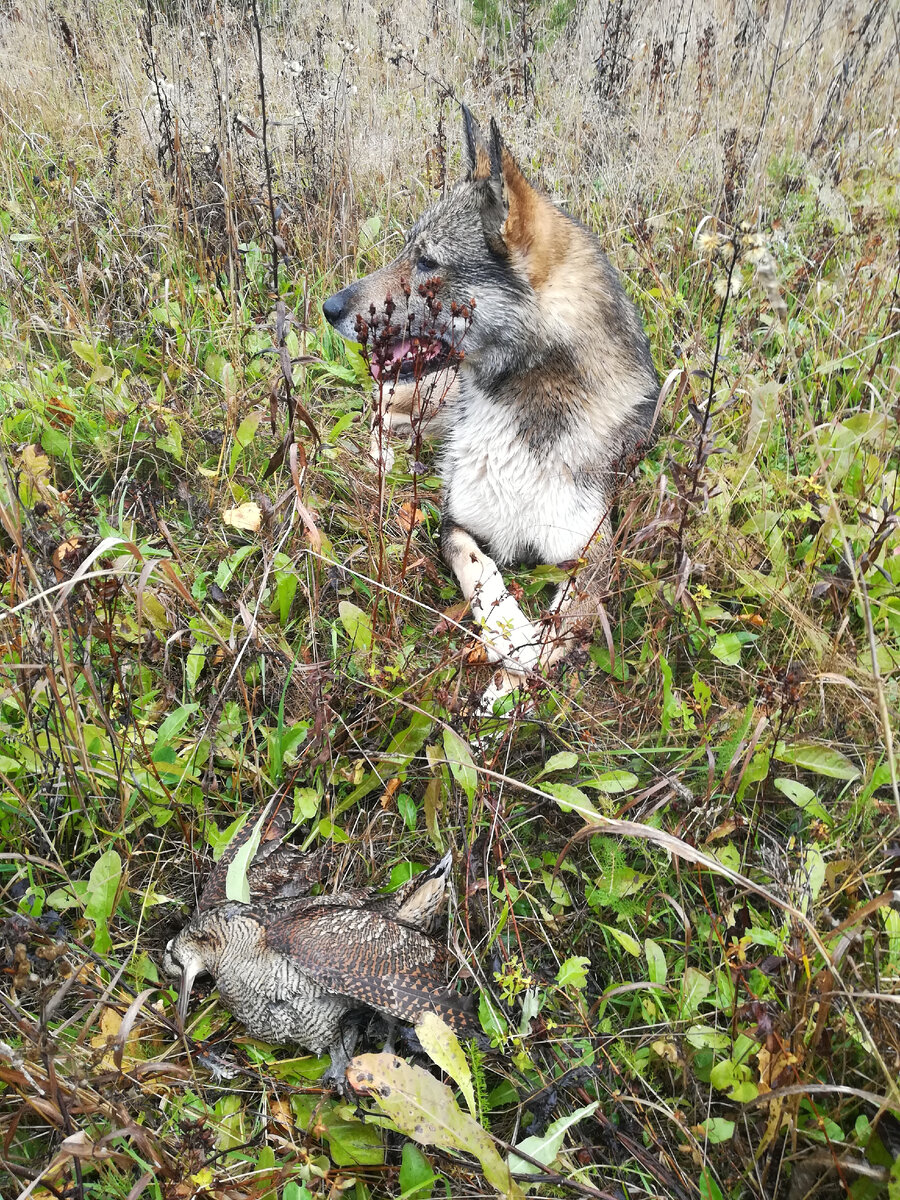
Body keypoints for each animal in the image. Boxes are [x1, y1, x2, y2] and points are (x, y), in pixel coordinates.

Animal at [321, 108, 657, 705]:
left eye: (427, 260)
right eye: (409, 250)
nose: (328, 307)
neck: (523, 401)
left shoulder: (595, 551)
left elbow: (562, 624)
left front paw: (514, 668)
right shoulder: (454, 525)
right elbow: (479, 570)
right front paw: (507, 631)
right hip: (431, 395)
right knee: (378, 408)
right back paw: (387, 458)